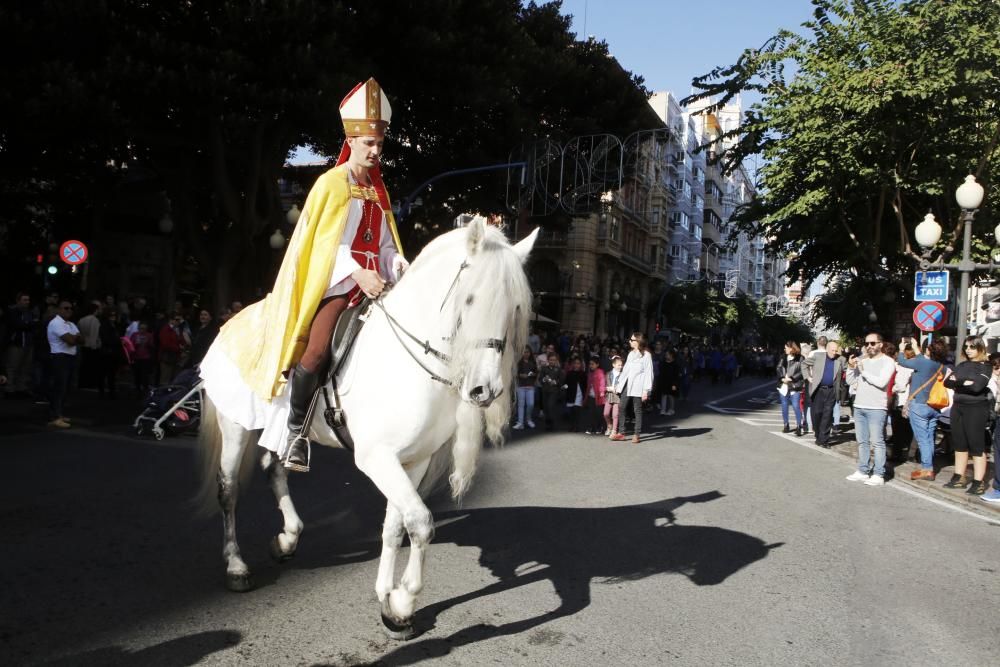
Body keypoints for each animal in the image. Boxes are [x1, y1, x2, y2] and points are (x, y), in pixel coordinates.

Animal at [197, 219, 540, 636]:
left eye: (514, 307)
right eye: (471, 299)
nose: (484, 389)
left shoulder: (413, 460)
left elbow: (396, 525)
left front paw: (391, 604)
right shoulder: (377, 458)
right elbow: (421, 522)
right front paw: (405, 600)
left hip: (277, 430)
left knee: (274, 468)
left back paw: (287, 538)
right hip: (234, 424)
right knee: (229, 490)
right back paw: (236, 566)